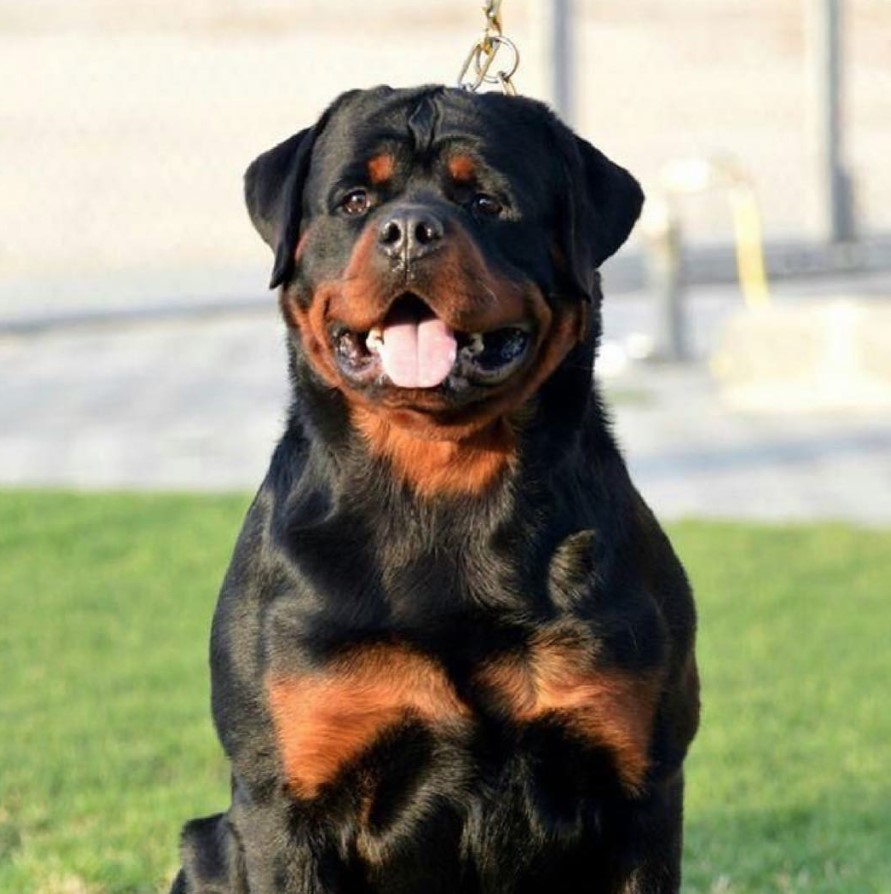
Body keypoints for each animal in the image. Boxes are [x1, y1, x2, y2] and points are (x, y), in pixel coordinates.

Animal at [171, 86, 700, 894]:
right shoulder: (283, 801)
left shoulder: (640, 786)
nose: (409, 231)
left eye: (486, 201)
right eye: (356, 200)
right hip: (207, 846)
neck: (444, 490)